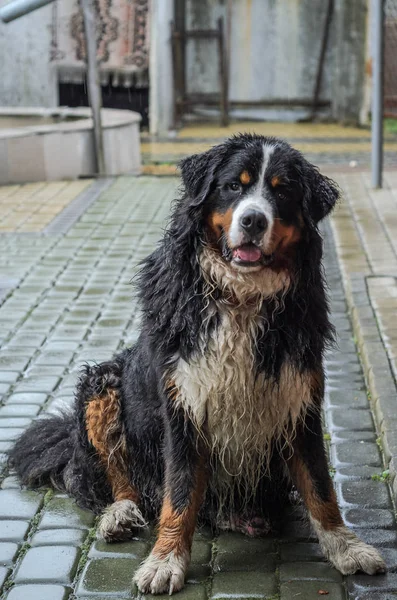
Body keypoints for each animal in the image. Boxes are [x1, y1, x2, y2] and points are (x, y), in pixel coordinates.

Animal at [10, 136, 386, 596]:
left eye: (282, 192)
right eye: (233, 186)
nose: (253, 220)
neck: (242, 297)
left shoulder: (299, 400)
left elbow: (320, 487)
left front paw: (346, 546)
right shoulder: (183, 406)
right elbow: (180, 493)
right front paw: (166, 559)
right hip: (104, 383)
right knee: (113, 481)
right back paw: (120, 514)